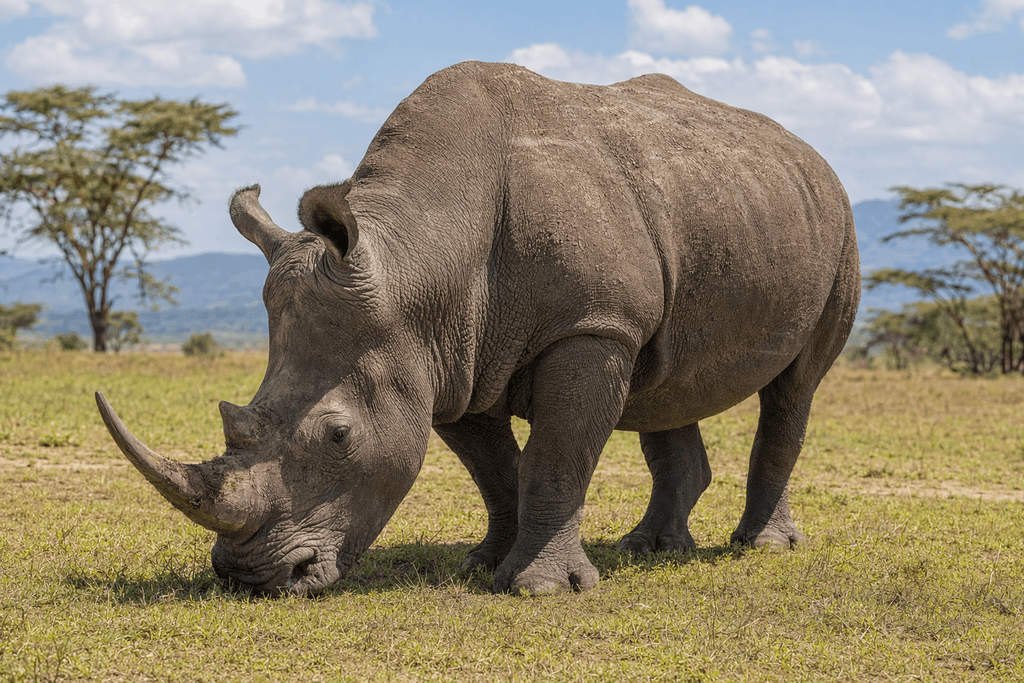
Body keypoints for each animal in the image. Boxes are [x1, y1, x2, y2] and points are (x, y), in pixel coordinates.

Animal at [96, 61, 860, 597]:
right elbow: (495, 468)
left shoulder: (587, 328)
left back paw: (761, 547)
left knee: (795, 387)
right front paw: (485, 561)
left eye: (338, 436)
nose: (252, 578)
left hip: (838, 222)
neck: (420, 257)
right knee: (666, 384)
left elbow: (555, 456)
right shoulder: (446, 354)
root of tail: (808, 153)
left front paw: (540, 589)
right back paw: (650, 548)